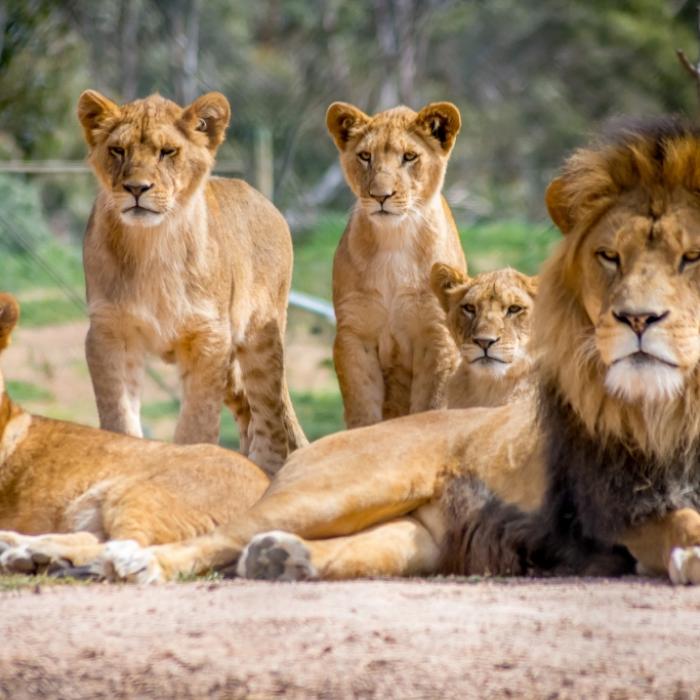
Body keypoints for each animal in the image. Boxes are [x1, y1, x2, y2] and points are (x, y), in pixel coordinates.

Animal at [0, 293, 269, 575]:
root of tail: (267, 483)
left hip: (140, 494)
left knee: (127, 545)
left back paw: (35, 556)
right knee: (97, 539)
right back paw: (26, 551)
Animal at [78, 90, 306, 474]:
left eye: (167, 152)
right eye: (118, 150)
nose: (136, 188)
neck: (151, 245)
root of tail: (265, 200)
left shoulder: (208, 337)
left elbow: (196, 423)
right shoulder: (109, 332)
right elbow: (119, 416)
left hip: (260, 337)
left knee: (270, 415)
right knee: (248, 411)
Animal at [327, 101, 467, 427]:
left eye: (410, 157)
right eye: (365, 156)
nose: (381, 196)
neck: (394, 239)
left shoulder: (436, 335)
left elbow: (431, 405)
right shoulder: (354, 335)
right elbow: (362, 409)